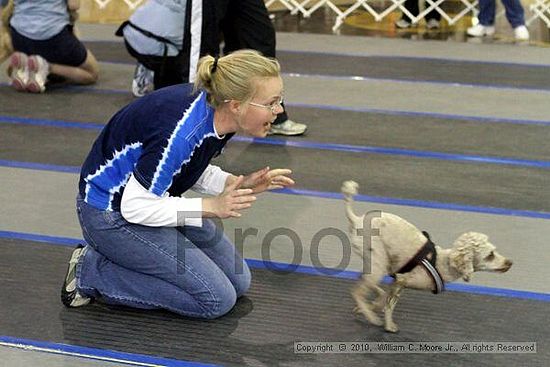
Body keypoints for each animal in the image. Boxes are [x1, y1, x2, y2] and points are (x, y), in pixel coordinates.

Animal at [342, 181, 516, 334]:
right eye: (490, 255)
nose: (510, 262)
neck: (442, 263)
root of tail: (356, 219)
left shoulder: (397, 282)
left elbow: (385, 300)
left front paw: (374, 307)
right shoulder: (401, 280)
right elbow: (389, 305)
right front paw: (388, 324)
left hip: (376, 263)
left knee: (365, 282)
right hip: (378, 262)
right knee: (357, 290)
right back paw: (371, 315)